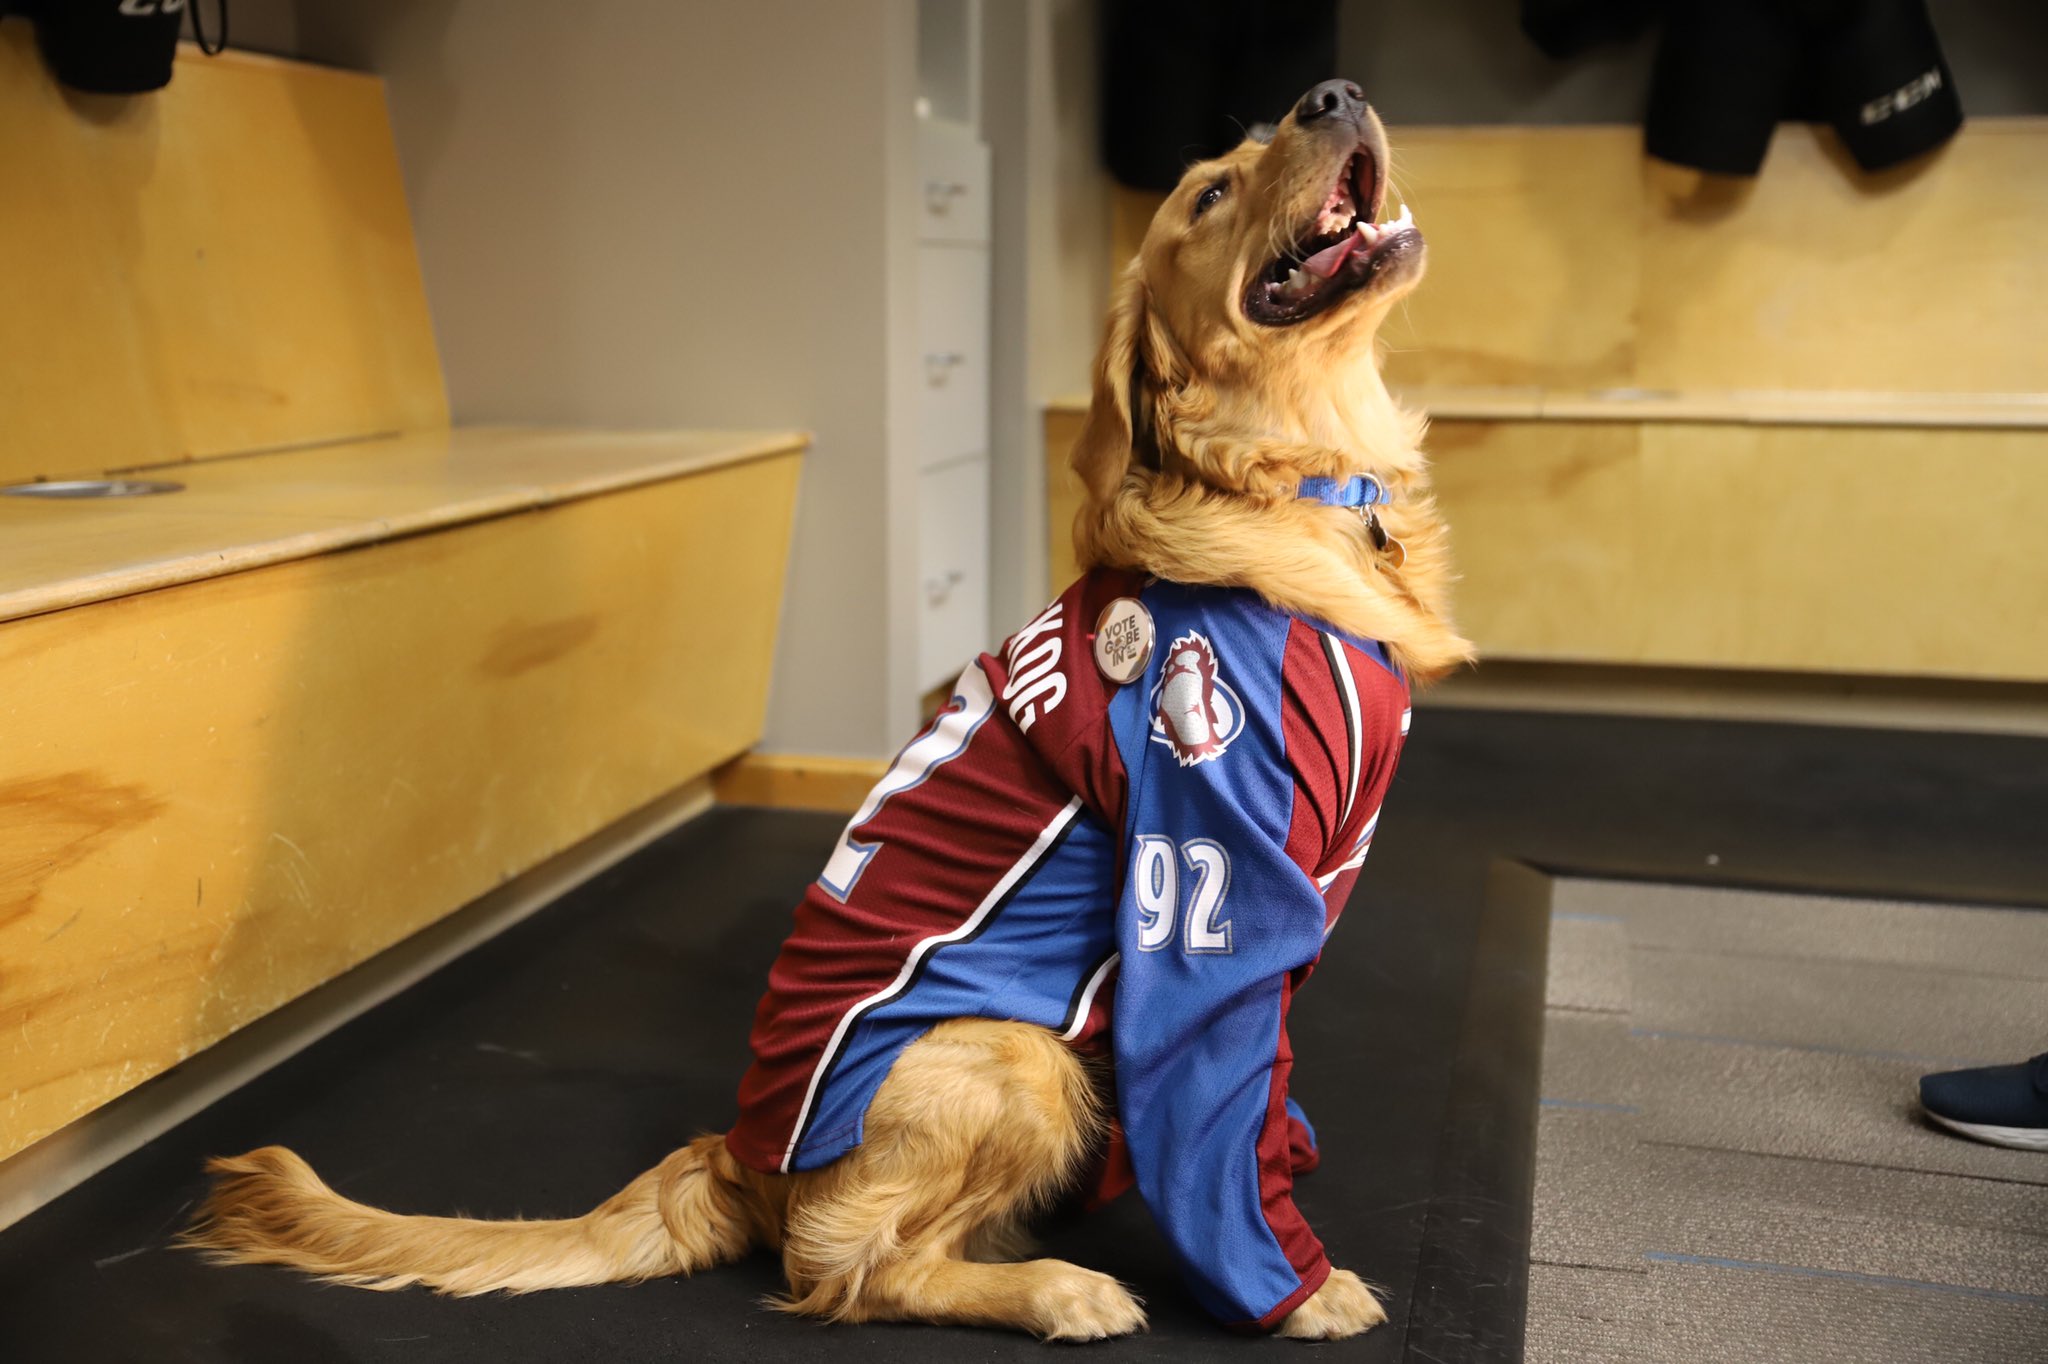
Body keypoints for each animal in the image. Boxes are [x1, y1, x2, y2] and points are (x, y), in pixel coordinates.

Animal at [184, 82, 1466, 1335]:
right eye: (1207, 193)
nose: (1333, 93)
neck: (1308, 486)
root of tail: (735, 1153)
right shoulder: (1210, 875)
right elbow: (1213, 1107)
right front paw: (1293, 1285)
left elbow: (1264, 1087)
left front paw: (1291, 1158)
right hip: (1016, 1055)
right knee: (851, 1269)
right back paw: (1057, 1287)